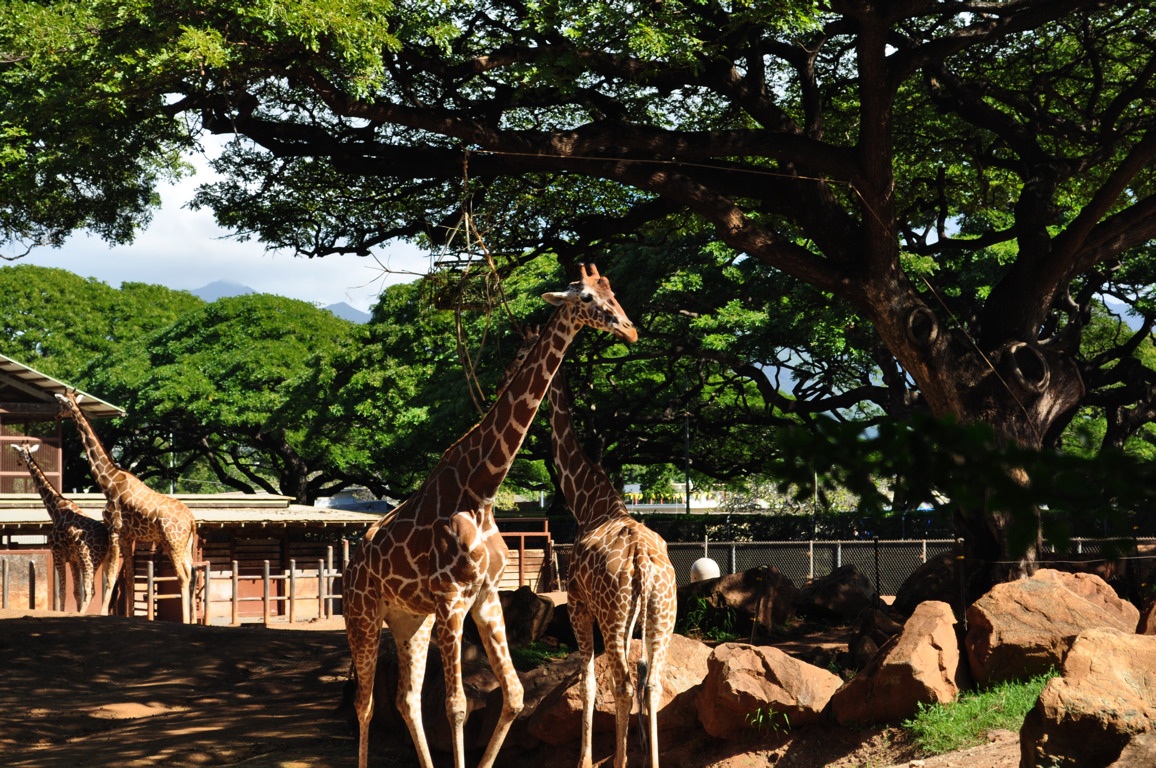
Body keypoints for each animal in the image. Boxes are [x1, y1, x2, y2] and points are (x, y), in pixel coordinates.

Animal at [11, 442, 111, 613]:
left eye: (18, 453)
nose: (17, 462)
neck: (55, 509)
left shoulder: (57, 553)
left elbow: (62, 591)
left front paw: (64, 612)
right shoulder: (73, 559)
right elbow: (76, 591)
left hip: (89, 559)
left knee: (91, 589)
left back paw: (83, 613)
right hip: (103, 560)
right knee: (107, 585)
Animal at [55, 389, 197, 623]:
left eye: (62, 404)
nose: (57, 416)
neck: (108, 482)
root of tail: (193, 520)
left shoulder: (114, 531)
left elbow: (111, 575)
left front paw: (103, 612)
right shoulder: (127, 536)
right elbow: (129, 577)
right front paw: (130, 615)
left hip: (172, 541)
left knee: (183, 576)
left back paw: (186, 620)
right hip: (184, 544)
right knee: (193, 573)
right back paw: (195, 620)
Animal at [343, 264, 638, 768]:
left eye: (613, 293)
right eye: (586, 298)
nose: (630, 329)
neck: (482, 487)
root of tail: (351, 560)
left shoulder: (484, 597)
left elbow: (514, 695)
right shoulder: (452, 599)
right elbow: (457, 705)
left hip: (409, 619)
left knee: (405, 698)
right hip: (361, 614)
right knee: (364, 702)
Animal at [548, 368, 678, 768]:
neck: (589, 503)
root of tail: (642, 561)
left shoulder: (577, 603)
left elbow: (587, 682)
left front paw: (583, 760)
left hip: (612, 615)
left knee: (622, 683)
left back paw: (619, 761)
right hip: (661, 614)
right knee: (652, 683)